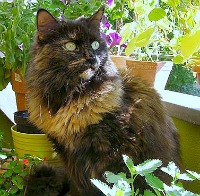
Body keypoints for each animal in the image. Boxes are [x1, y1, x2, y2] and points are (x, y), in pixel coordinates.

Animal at [24, 6, 181, 195]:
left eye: (95, 44)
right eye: (70, 45)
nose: (92, 58)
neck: (74, 96)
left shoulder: (116, 152)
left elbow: (115, 183)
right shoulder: (67, 155)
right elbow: (80, 185)